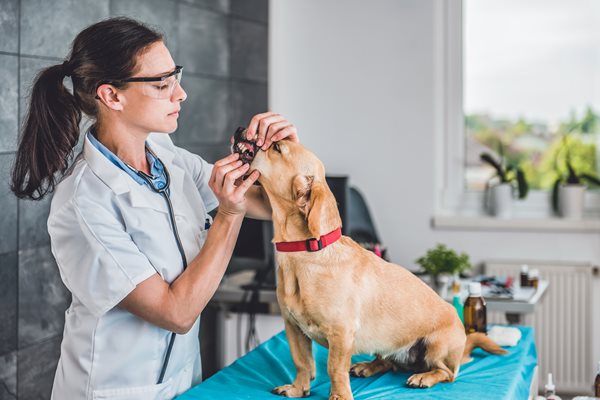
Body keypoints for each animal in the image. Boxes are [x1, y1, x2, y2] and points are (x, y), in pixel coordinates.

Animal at [241, 138, 504, 400]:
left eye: (276, 147)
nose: (242, 132)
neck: (304, 254)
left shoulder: (341, 333)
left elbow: (334, 369)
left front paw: (339, 396)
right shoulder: (294, 329)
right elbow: (303, 363)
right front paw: (297, 389)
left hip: (436, 346)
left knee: (446, 373)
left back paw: (423, 377)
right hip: (386, 341)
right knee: (388, 362)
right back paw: (368, 366)